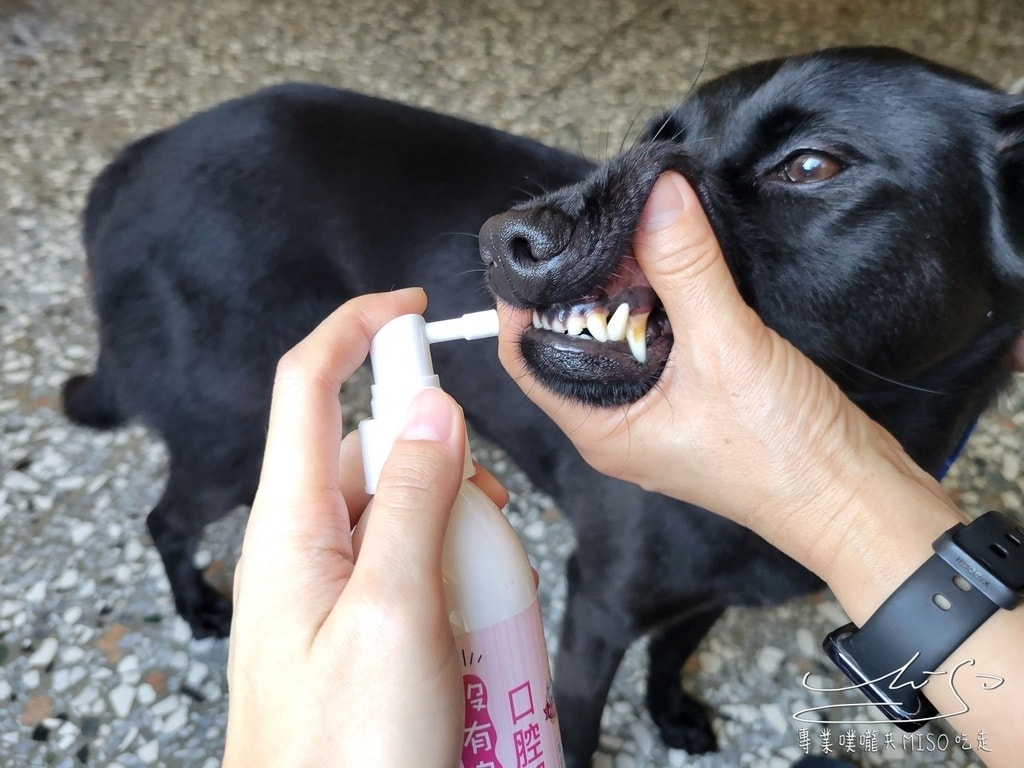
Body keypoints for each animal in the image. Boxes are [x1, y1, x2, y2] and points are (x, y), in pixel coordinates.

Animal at [66, 46, 1024, 765]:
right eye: (656, 137)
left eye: (812, 166)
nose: (504, 242)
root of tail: (133, 162)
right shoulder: (593, 605)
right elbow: (585, 713)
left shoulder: (705, 598)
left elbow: (675, 651)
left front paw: (671, 713)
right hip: (230, 433)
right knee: (164, 518)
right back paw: (198, 607)